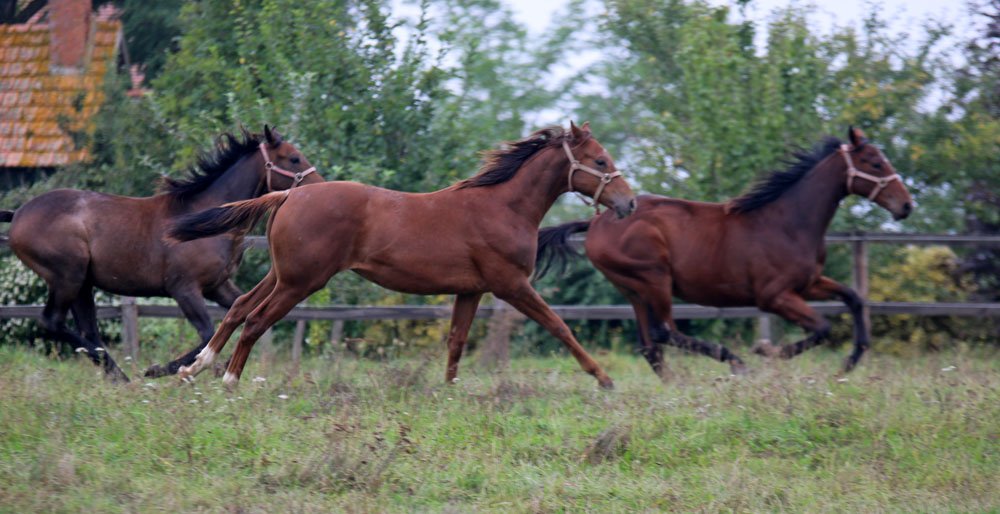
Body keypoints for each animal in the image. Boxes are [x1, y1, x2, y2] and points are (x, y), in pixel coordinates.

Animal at [0, 126, 322, 382]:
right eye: (294, 158)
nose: (319, 187)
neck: (204, 218)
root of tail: (18, 215)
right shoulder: (184, 289)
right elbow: (208, 331)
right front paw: (163, 369)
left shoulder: (217, 285)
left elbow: (235, 312)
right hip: (68, 276)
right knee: (52, 321)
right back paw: (126, 377)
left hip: (83, 284)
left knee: (88, 331)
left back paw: (118, 378)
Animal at [168, 122, 637, 389]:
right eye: (600, 160)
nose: (629, 203)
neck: (501, 206)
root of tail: (288, 194)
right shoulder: (512, 285)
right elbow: (560, 326)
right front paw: (604, 378)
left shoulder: (472, 290)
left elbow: (456, 340)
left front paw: (448, 392)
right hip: (301, 282)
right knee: (256, 320)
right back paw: (229, 381)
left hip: (282, 275)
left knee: (239, 308)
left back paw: (195, 368)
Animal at [536, 127, 913, 377]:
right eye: (875, 163)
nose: (906, 205)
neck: (788, 221)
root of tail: (597, 221)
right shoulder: (775, 296)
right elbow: (822, 327)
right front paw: (767, 352)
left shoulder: (808, 283)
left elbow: (854, 298)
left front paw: (852, 358)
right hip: (654, 279)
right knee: (664, 332)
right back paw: (735, 362)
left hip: (633, 290)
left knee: (650, 345)